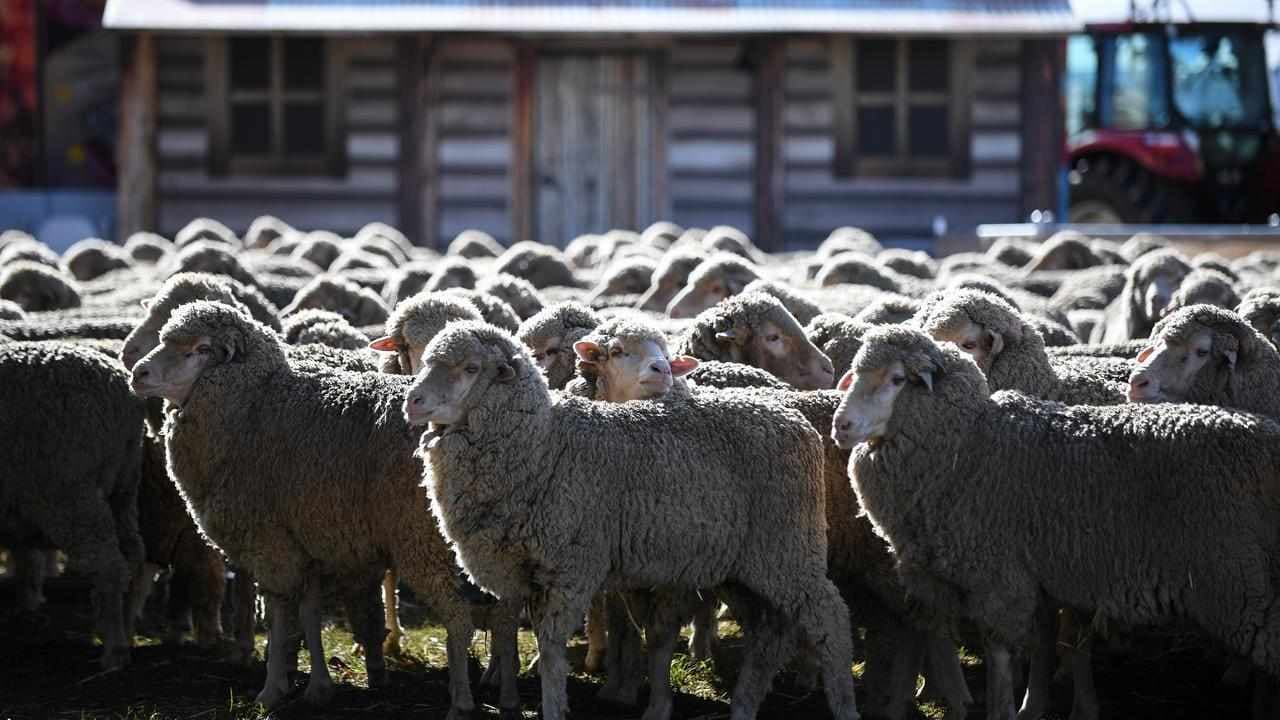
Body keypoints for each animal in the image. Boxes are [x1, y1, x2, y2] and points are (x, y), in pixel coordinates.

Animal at [1, 341, 145, 669]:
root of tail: (122, 389)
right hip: (123, 487)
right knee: (133, 556)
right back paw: (127, 628)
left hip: (68, 490)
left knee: (109, 565)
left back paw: (115, 651)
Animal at [130, 301, 521, 716]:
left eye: (201, 349)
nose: (138, 373)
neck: (254, 406)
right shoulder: (310, 541)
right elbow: (309, 612)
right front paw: (318, 687)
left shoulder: (271, 542)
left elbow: (280, 615)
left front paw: (272, 689)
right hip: (489, 542)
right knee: (505, 614)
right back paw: (507, 692)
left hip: (422, 542)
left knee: (459, 618)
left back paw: (462, 700)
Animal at [407, 321, 860, 720]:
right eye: (428, 362)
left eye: (470, 368)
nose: (412, 402)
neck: (542, 443)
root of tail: (794, 420)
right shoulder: (528, 572)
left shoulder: (571, 568)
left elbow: (553, 650)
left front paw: (555, 706)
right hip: (744, 567)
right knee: (769, 635)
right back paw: (745, 705)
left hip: (788, 548)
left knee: (831, 617)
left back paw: (844, 704)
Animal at [832, 324, 1280, 720]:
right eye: (855, 373)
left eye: (896, 380)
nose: (841, 425)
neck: (966, 443)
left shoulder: (1001, 581)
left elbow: (1000, 661)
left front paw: (1005, 710)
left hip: (1242, 585)